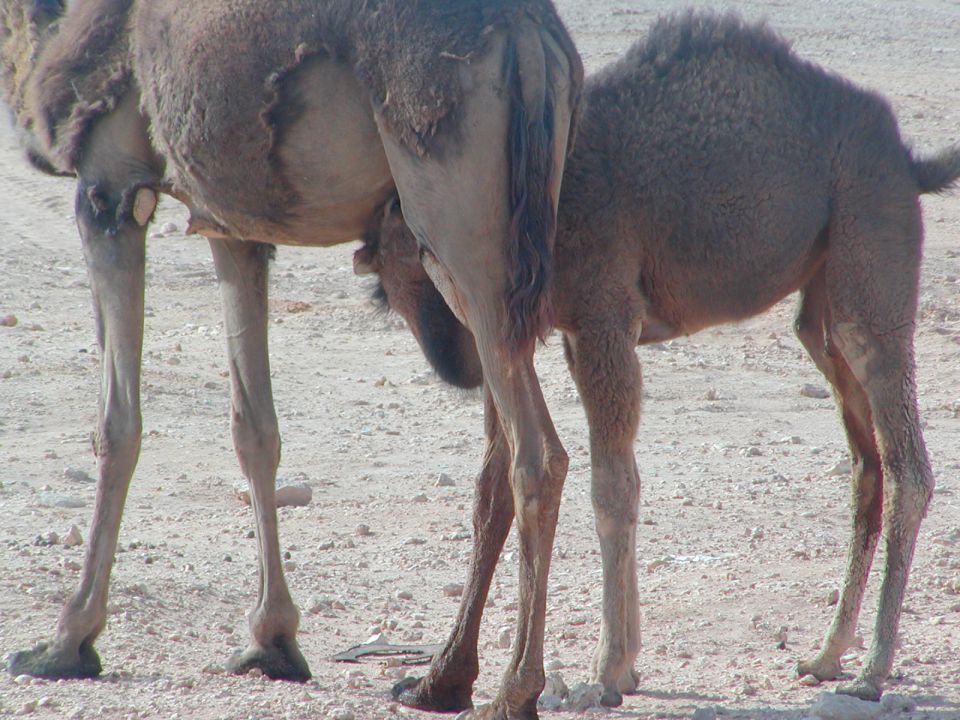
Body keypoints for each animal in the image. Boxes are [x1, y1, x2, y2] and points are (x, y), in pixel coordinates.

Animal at [0, 1, 584, 716]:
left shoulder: (109, 188)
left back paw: (512, 689)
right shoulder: (232, 225)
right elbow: (255, 429)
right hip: (514, 242)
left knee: (538, 456)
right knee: (500, 458)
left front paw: (66, 641)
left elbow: (116, 426)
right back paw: (440, 679)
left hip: (458, 231)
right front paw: (271, 642)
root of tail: (532, 35)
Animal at [358, 9, 960, 708]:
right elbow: (562, 480)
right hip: (821, 303)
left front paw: (607, 670)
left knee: (906, 459)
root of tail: (910, 160)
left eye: (421, 271)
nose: (456, 364)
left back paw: (872, 670)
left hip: (871, 249)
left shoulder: (601, 313)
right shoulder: (557, 330)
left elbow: (611, 484)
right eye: (395, 288)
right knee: (866, 461)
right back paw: (827, 655)